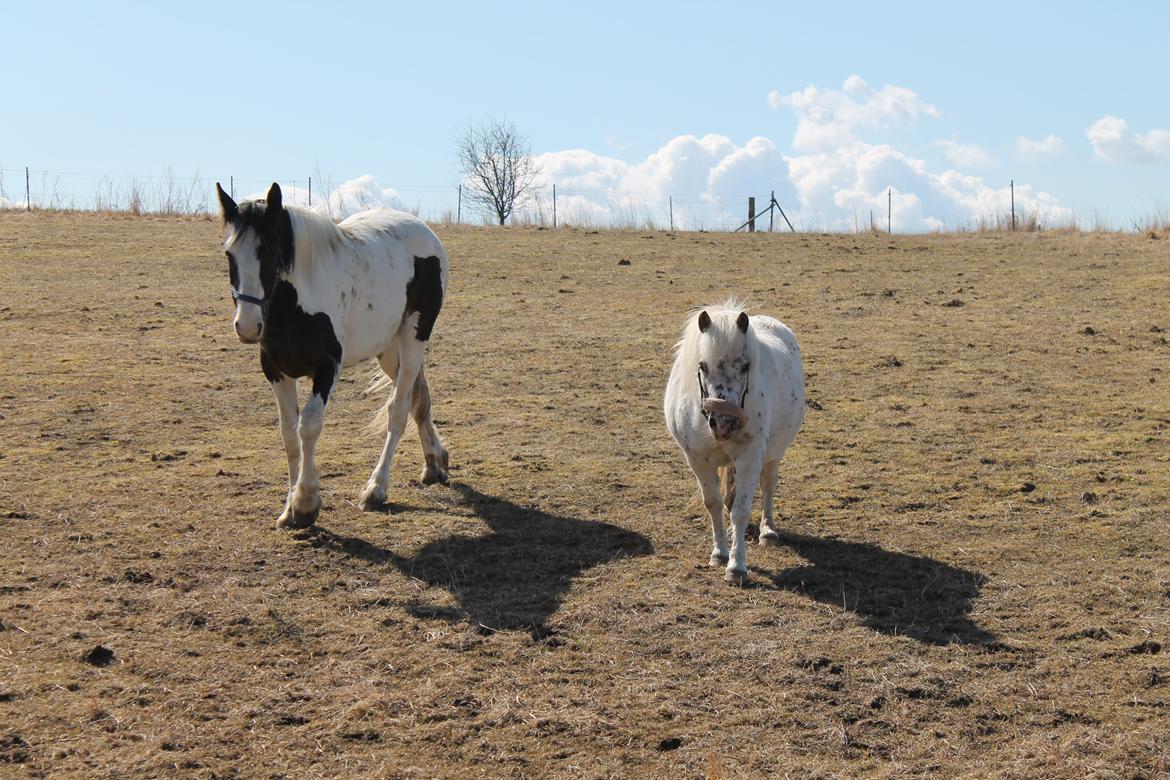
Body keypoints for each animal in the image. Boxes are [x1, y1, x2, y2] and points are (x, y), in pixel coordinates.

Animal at [215, 181, 446, 530]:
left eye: (270, 252)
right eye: (230, 254)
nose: (248, 325)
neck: (294, 305)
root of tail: (424, 231)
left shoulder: (327, 367)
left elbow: (308, 426)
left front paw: (306, 502)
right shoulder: (276, 371)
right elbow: (289, 433)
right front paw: (290, 507)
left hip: (412, 338)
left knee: (399, 409)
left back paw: (376, 488)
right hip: (388, 350)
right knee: (419, 397)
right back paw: (434, 461)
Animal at [669, 301, 804, 582]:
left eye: (745, 366)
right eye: (702, 365)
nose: (724, 421)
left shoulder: (750, 458)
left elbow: (740, 511)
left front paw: (736, 566)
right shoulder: (697, 459)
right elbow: (713, 503)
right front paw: (719, 553)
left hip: (773, 454)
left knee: (768, 484)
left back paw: (768, 531)